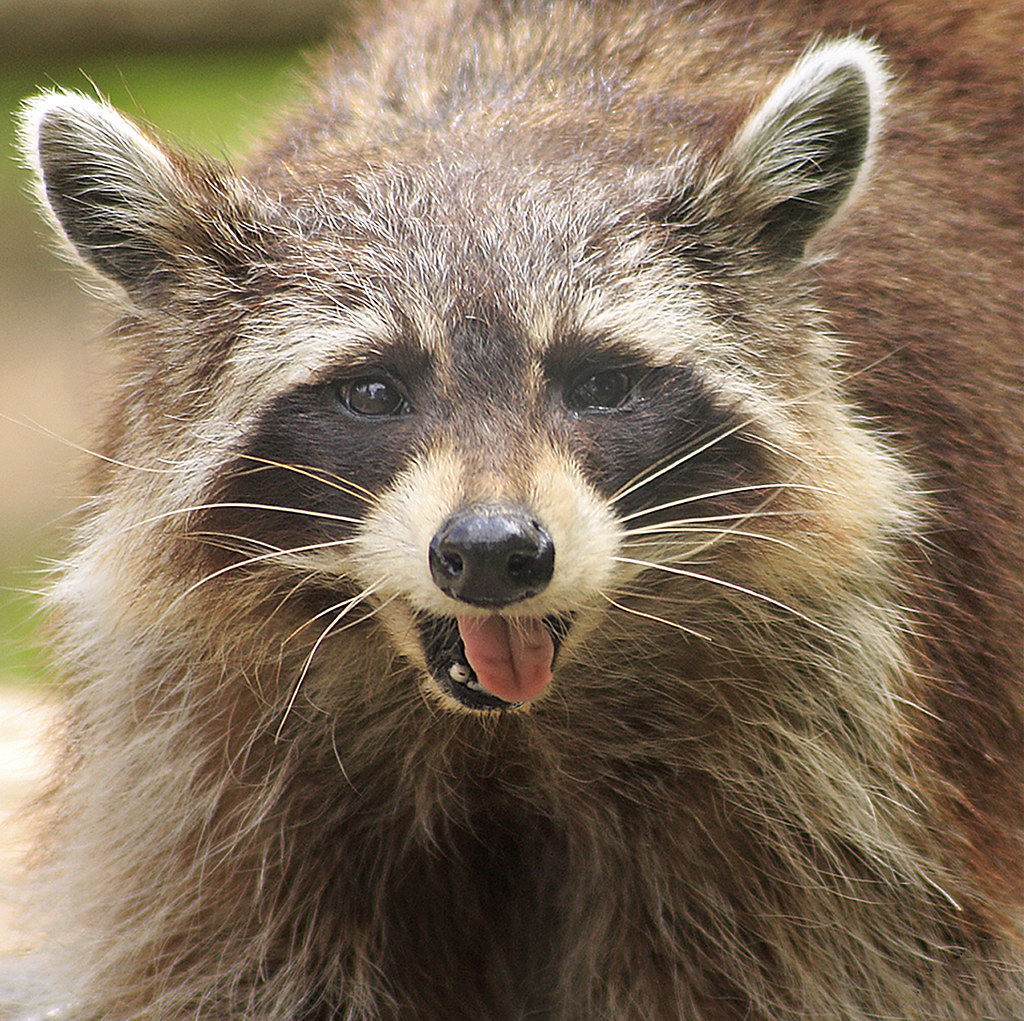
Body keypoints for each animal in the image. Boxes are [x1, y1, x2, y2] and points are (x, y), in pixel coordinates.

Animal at [12, 0, 1022, 1018]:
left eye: (602, 384)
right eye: (373, 392)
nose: (494, 550)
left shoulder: (839, 770)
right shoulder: (208, 766)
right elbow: (232, 963)